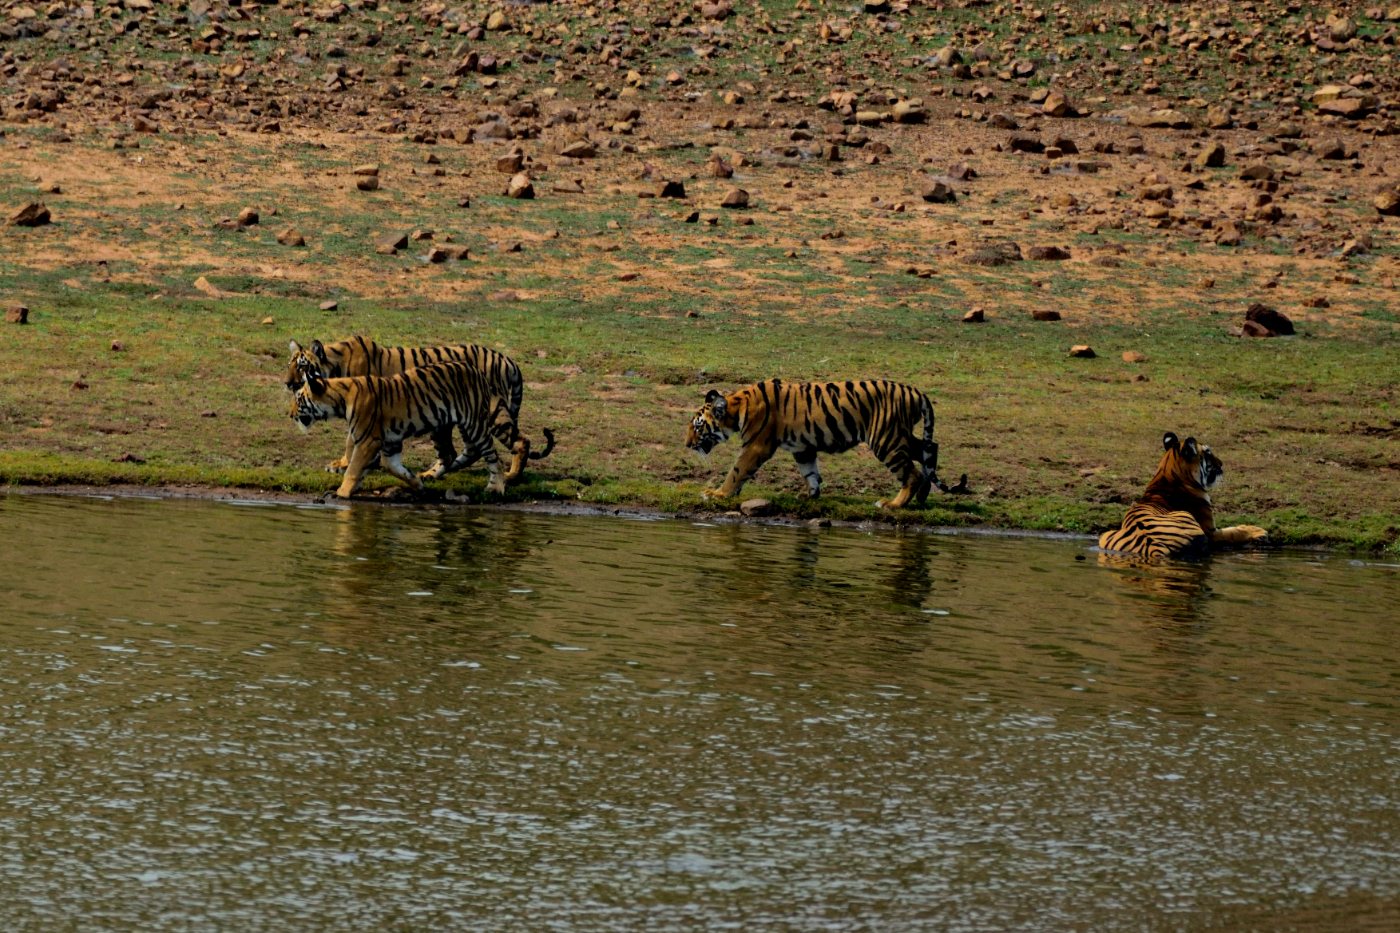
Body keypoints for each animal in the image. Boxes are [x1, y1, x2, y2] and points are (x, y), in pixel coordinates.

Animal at [286, 336, 525, 473]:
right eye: (290, 365)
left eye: (302, 366)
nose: (287, 383)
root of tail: (507, 360)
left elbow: (350, 440)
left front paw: (345, 464)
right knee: (469, 449)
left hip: (491, 411)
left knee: (521, 442)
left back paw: (510, 478)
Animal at [288, 360, 555, 500]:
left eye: (299, 399)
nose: (290, 414)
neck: (340, 399)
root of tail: (477, 371)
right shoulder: (389, 443)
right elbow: (393, 468)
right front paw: (416, 483)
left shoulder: (368, 440)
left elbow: (353, 469)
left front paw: (342, 493)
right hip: (446, 425)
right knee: (455, 454)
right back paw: (432, 475)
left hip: (476, 423)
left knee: (494, 455)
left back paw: (496, 487)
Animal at [686, 378, 966, 508]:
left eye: (698, 426)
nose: (687, 445)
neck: (738, 406)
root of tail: (917, 392)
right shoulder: (802, 448)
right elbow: (810, 473)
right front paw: (810, 495)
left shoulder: (756, 446)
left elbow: (736, 471)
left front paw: (717, 494)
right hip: (900, 435)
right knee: (930, 449)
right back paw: (922, 496)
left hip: (886, 439)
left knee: (912, 472)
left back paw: (894, 504)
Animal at [1098, 431, 1268, 560]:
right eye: (1208, 453)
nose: (1221, 463)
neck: (1168, 476)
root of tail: (1153, 547)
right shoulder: (1211, 531)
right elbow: (1234, 531)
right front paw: (1259, 531)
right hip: (1187, 517)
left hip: (1104, 535)